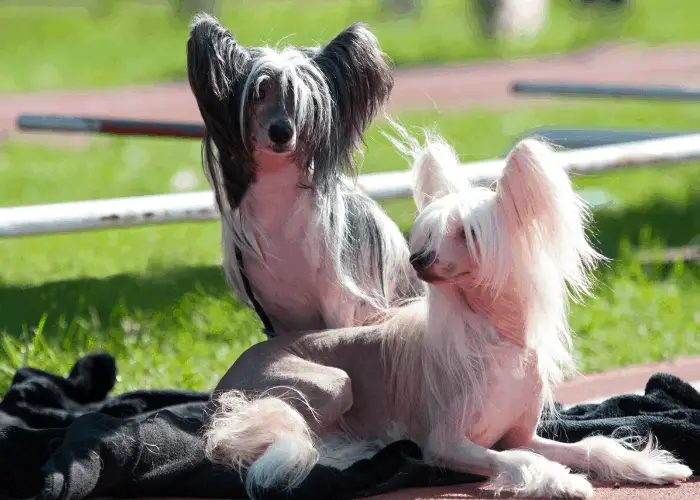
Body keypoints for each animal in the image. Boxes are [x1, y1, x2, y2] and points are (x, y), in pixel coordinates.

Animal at [186, 14, 424, 336]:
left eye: (306, 101)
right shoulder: (273, 318)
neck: (278, 195)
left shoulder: (339, 305)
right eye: (258, 93)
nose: (281, 132)